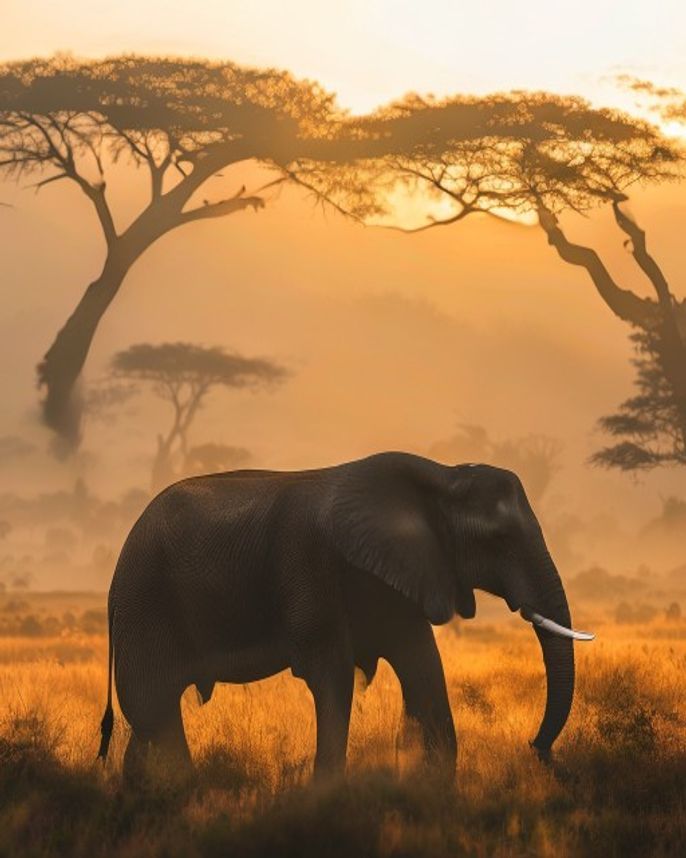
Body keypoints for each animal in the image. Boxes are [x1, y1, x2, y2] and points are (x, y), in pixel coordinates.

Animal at [97, 451, 593, 780]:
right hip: (147, 604)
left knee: (148, 719)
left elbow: (422, 664)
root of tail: (113, 582)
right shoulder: (309, 565)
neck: (441, 476)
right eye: (499, 539)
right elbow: (330, 673)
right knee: (155, 708)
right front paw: (326, 797)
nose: (536, 749)